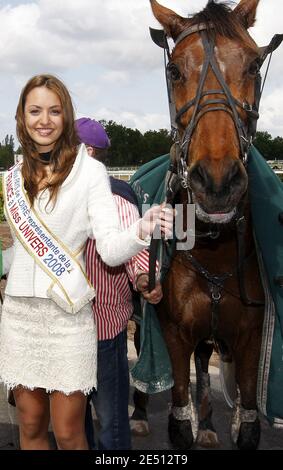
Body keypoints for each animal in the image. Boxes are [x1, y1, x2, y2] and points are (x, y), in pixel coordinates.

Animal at [138, 0, 266, 450]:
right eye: (174, 70)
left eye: (254, 64)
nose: (217, 182)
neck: (215, 249)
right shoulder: (173, 332)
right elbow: (178, 421)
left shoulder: (250, 335)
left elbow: (249, 422)